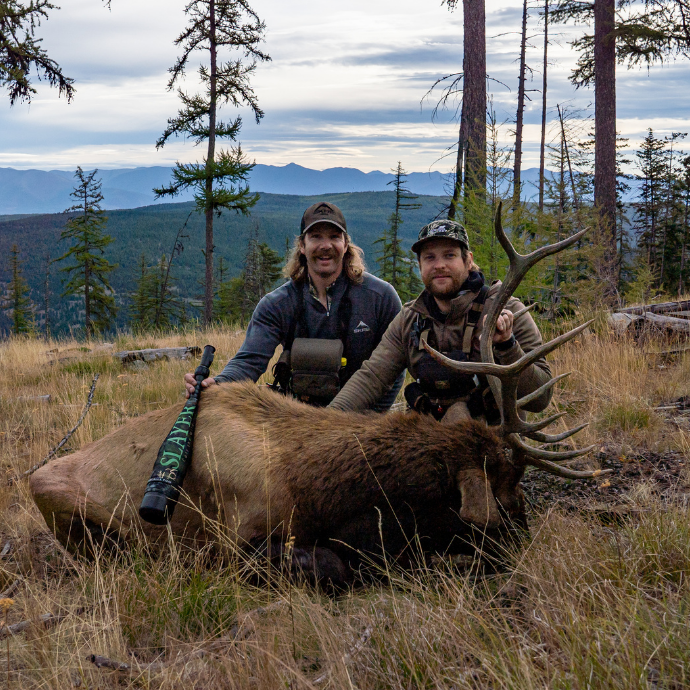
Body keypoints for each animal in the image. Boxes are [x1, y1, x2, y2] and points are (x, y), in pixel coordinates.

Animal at [29, 208, 609, 586]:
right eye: (506, 491)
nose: (524, 543)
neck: (326, 488)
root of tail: (33, 475)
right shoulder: (237, 543)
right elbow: (335, 565)